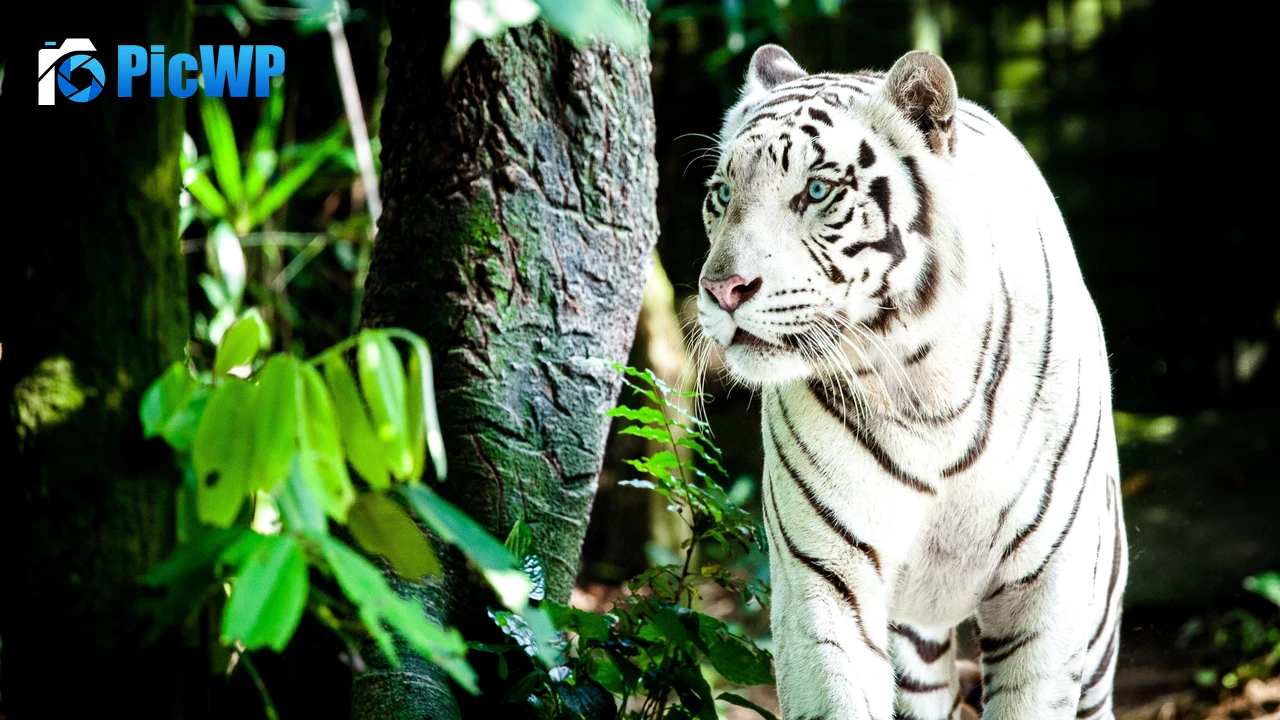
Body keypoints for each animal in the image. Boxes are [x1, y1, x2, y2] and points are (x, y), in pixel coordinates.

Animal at [694, 45, 1128, 720]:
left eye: (816, 190)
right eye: (722, 193)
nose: (721, 290)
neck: (925, 383)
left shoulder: (1045, 590)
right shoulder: (825, 576)